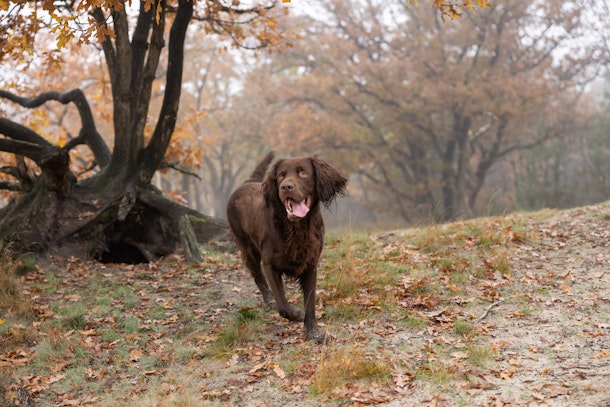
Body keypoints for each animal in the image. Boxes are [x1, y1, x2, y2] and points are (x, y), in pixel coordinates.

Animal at [224, 151, 346, 342]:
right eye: (281, 175)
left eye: (303, 172)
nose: (286, 187)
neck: (296, 229)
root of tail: (245, 183)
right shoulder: (270, 265)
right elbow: (282, 305)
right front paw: (297, 313)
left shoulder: (311, 265)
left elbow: (310, 302)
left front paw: (313, 331)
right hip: (247, 247)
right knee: (258, 277)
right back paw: (269, 300)